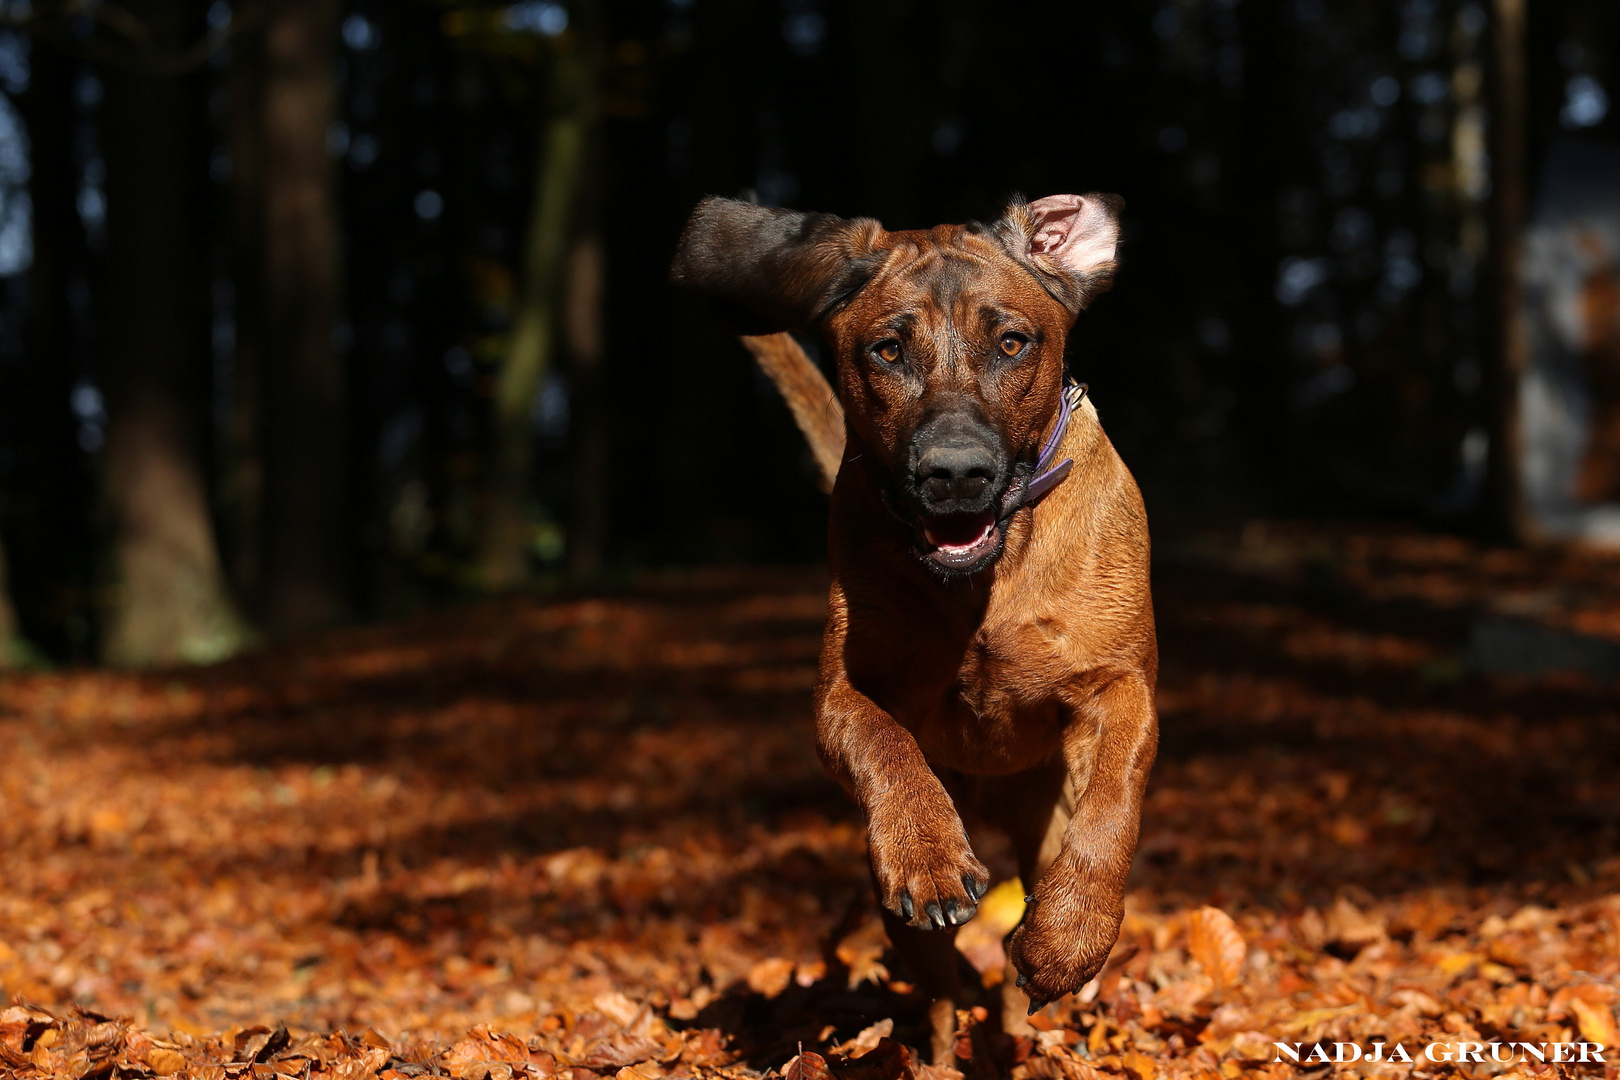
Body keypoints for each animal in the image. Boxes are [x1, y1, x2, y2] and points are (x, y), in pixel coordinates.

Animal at [677, 194, 1159, 1062]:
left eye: (1012, 342)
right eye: (889, 349)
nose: (955, 472)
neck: (987, 581)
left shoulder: (1120, 686)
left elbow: (1111, 807)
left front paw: (1072, 938)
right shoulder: (842, 694)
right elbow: (885, 744)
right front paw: (928, 855)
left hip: (1042, 823)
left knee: (1018, 963)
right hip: (899, 911)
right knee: (937, 997)